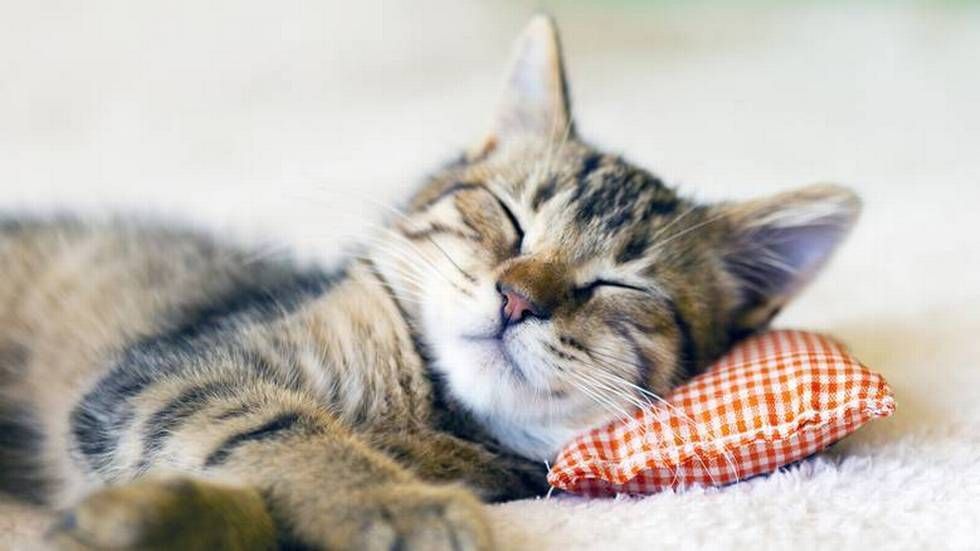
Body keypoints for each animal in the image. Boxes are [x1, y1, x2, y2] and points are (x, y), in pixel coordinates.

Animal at [0, 15, 860, 551]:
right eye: (510, 219)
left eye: (619, 283)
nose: (518, 299)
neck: (427, 411)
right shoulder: (168, 372)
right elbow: (278, 426)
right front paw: (392, 502)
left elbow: (255, 496)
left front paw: (147, 518)